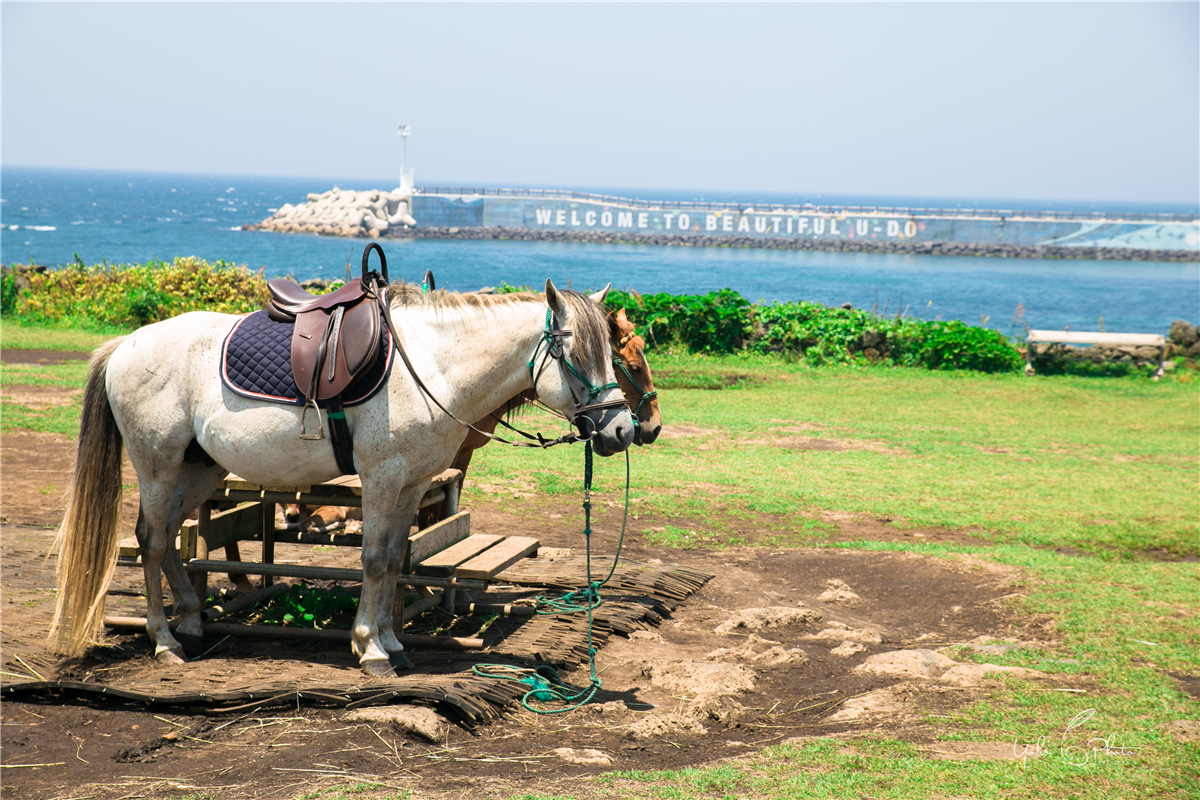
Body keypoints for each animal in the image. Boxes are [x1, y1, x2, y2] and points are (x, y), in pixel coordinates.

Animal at [54, 280, 638, 676]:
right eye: (574, 353)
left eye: (613, 353)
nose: (623, 429)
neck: (431, 365)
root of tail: (126, 345)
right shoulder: (381, 478)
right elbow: (375, 561)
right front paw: (371, 648)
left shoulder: (410, 485)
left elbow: (397, 560)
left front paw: (389, 641)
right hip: (158, 465)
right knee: (152, 541)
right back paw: (165, 640)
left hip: (199, 468)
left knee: (172, 538)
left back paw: (193, 621)